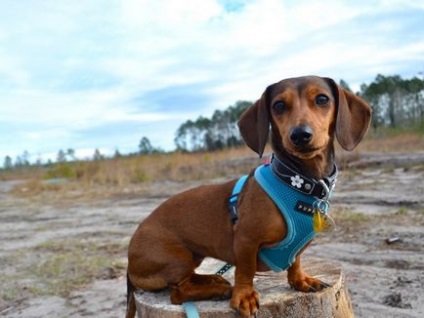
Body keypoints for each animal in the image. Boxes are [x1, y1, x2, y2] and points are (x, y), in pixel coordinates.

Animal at [125, 76, 372, 316]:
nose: (300, 135)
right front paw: (244, 296)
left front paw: (300, 280)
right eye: (279, 105)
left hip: (193, 258)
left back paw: (212, 279)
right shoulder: (245, 240)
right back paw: (218, 289)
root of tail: (129, 265)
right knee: (177, 293)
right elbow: (245, 270)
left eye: (322, 99)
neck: (297, 182)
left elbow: (295, 261)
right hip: (178, 258)